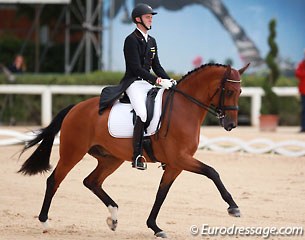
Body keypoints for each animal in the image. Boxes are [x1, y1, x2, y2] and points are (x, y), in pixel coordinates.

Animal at [18, 62, 247, 238]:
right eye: (228, 91)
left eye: (240, 92)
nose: (231, 125)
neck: (184, 108)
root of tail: (75, 107)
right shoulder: (180, 158)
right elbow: (212, 172)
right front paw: (233, 207)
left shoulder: (176, 164)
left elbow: (162, 193)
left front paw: (155, 227)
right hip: (73, 153)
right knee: (54, 180)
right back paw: (45, 222)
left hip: (111, 158)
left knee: (92, 181)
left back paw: (113, 217)